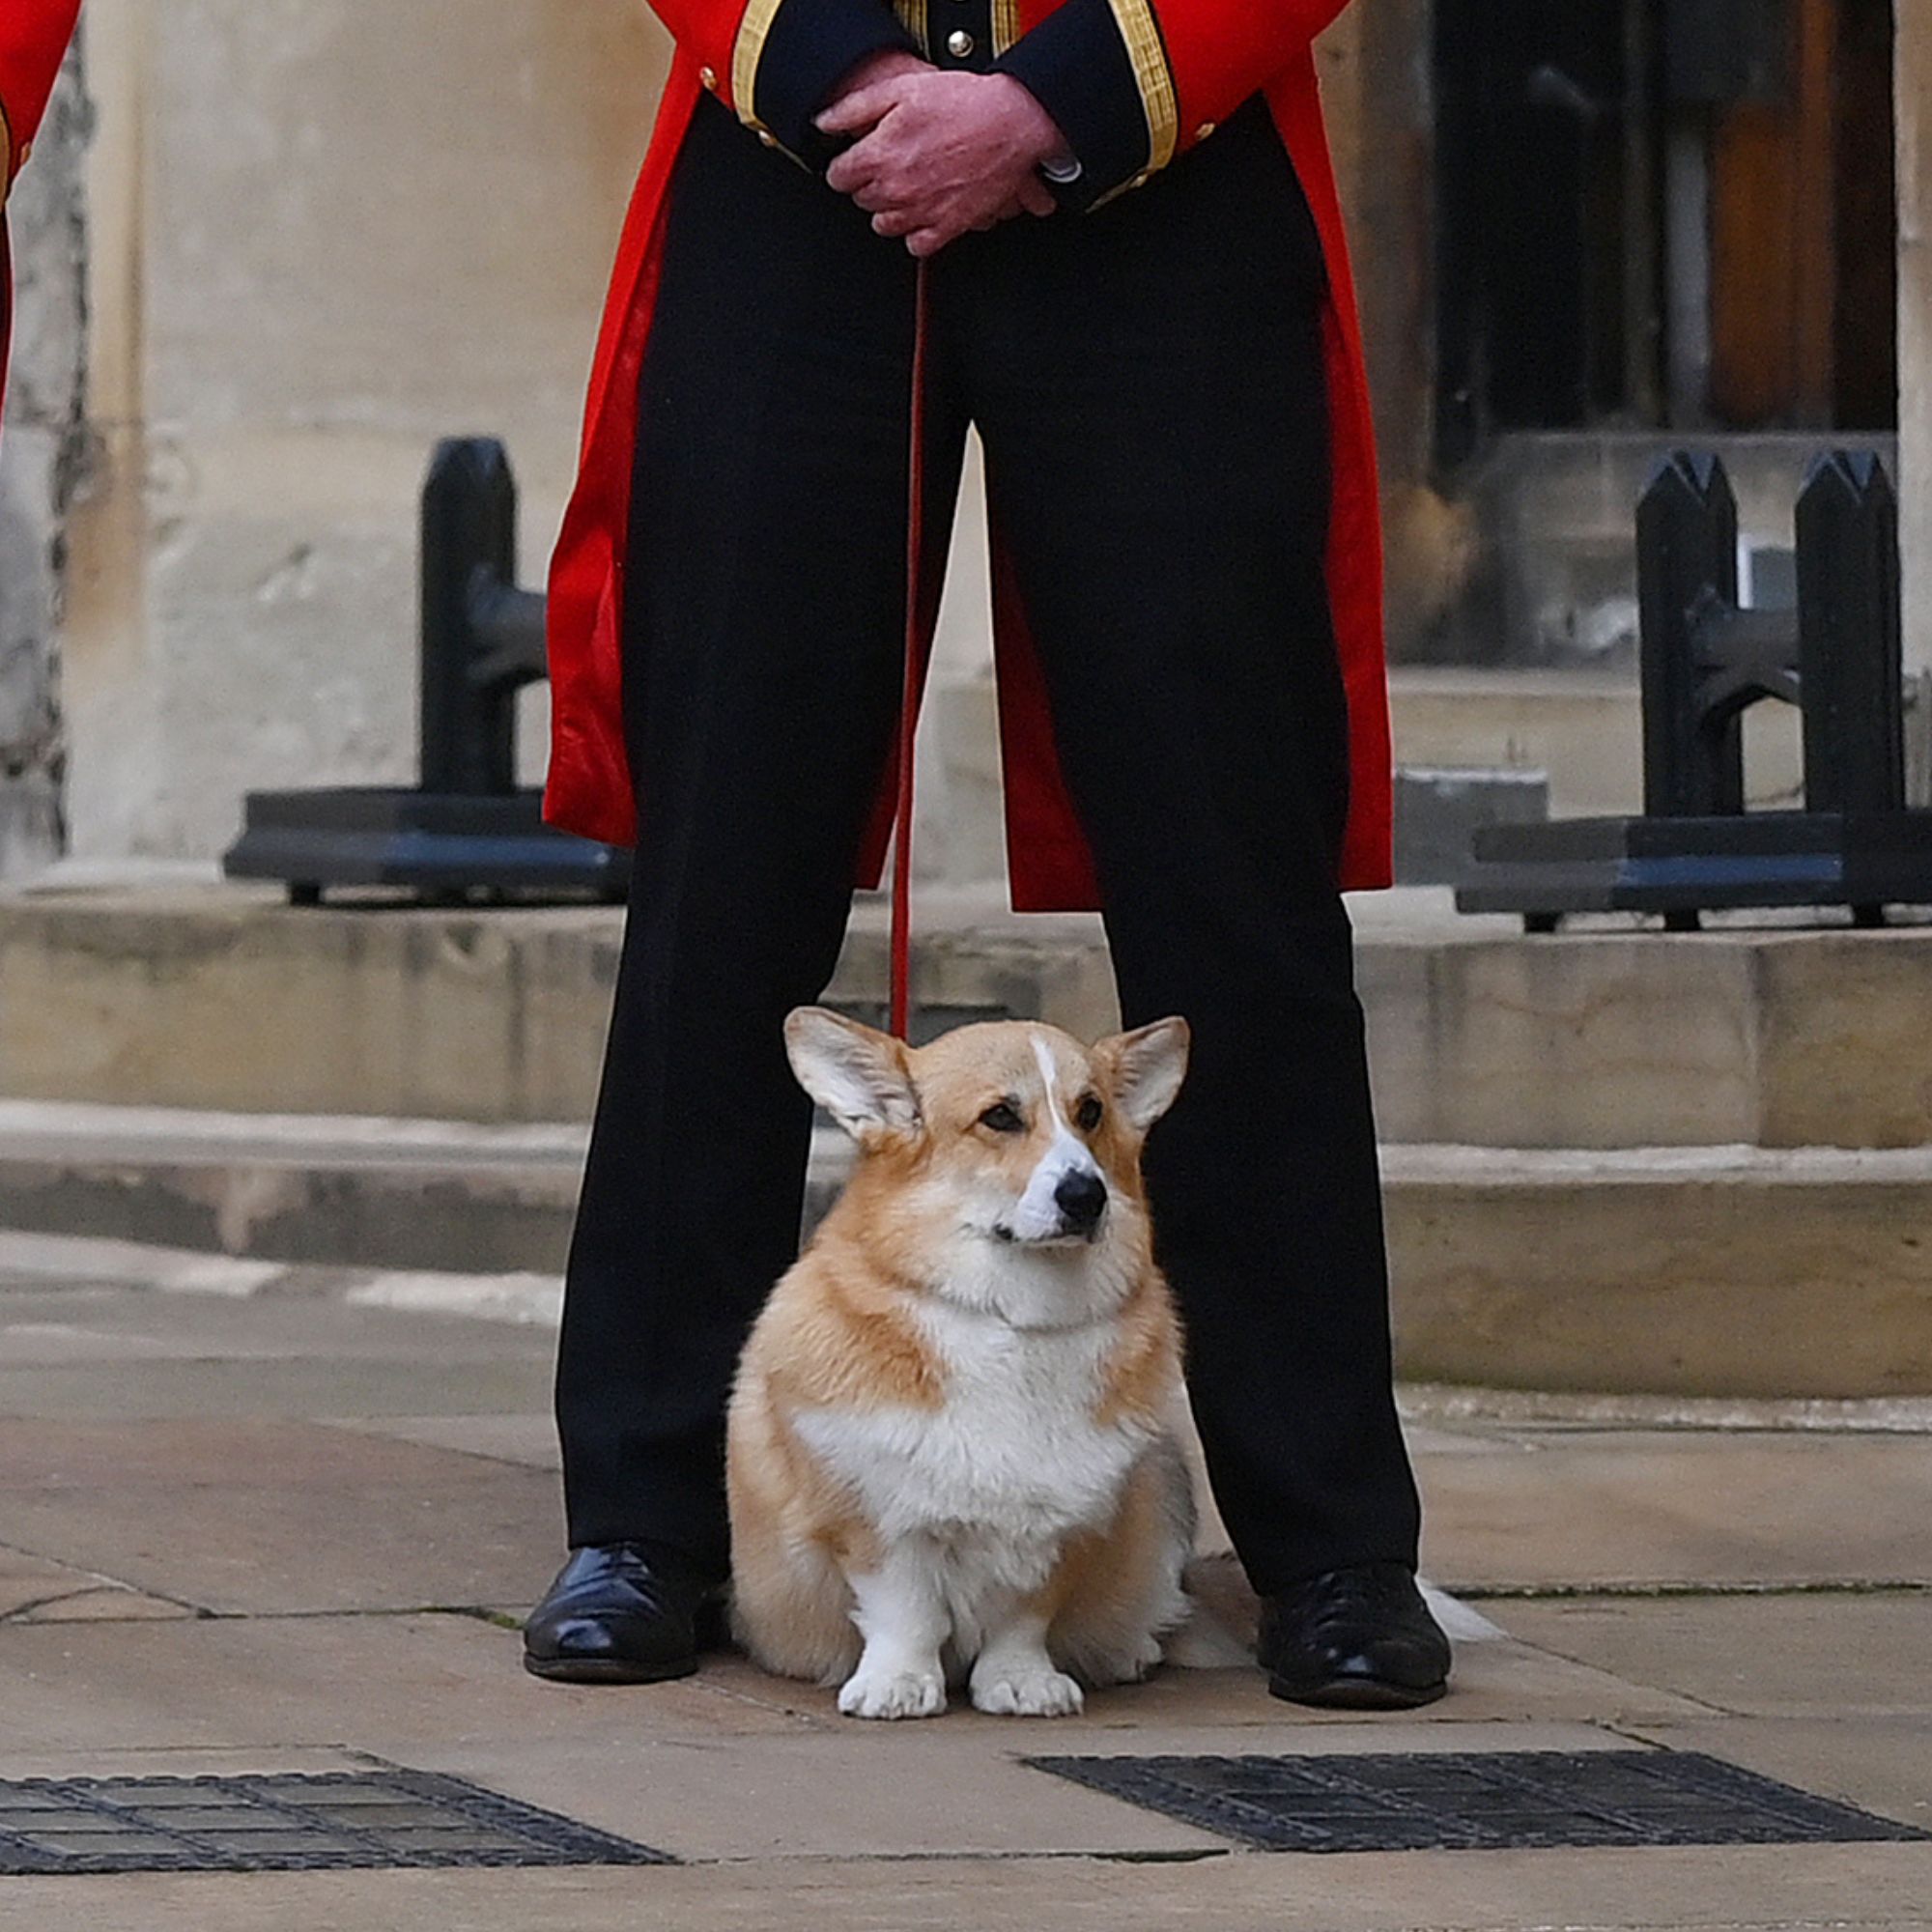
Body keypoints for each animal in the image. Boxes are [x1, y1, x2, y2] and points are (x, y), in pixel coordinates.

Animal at [730, 1012, 1198, 1723]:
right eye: (999, 1117)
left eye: (1091, 1112)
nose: (1086, 1195)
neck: (1012, 1322)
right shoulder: (873, 1516)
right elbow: (907, 1610)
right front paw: (897, 1683)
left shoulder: (1068, 1524)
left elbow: (1023, 1618)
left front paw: (1022, 1682)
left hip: (1167, 1478)